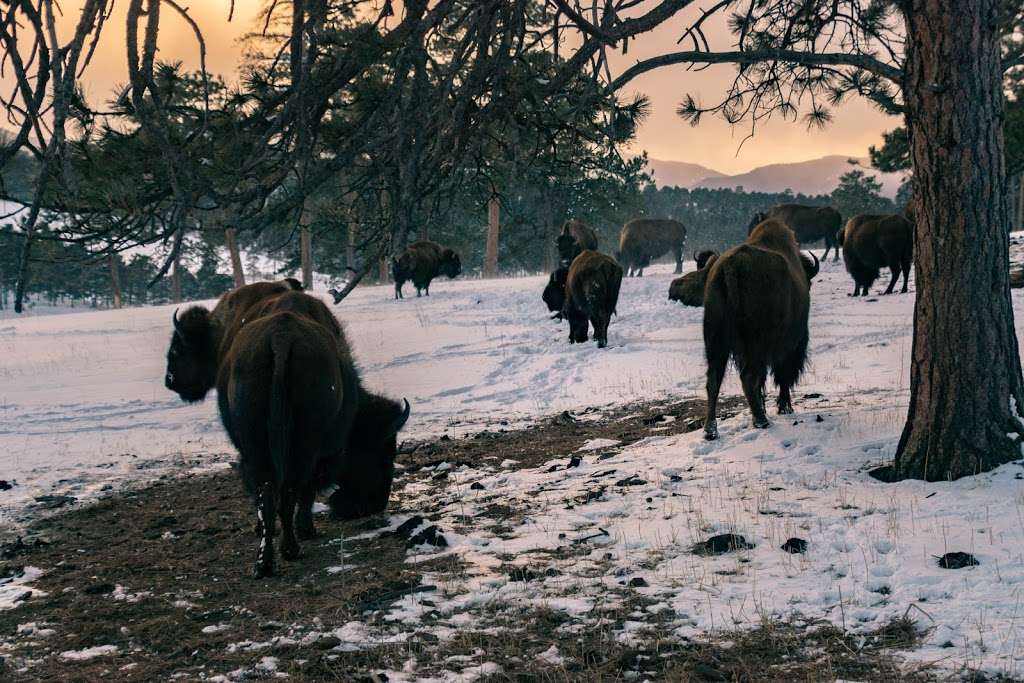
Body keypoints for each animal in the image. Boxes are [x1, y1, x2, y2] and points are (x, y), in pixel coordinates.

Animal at [165, 288, 409, 577]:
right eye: (381, 454)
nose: (372, 505)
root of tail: (280, 339)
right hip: (302, 445)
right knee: (290, 489)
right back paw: (289, 548)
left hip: (261, 446)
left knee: (271, 493)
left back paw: (269, 560)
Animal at [704, 222, 823, 440]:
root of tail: (731, 267)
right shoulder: (790, 346)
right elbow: (781, 375)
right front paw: (785, 407)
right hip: (756, 345)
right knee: (748, 377)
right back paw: (761, 421)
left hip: (716, 342)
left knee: (714, 380)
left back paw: (711, 431)